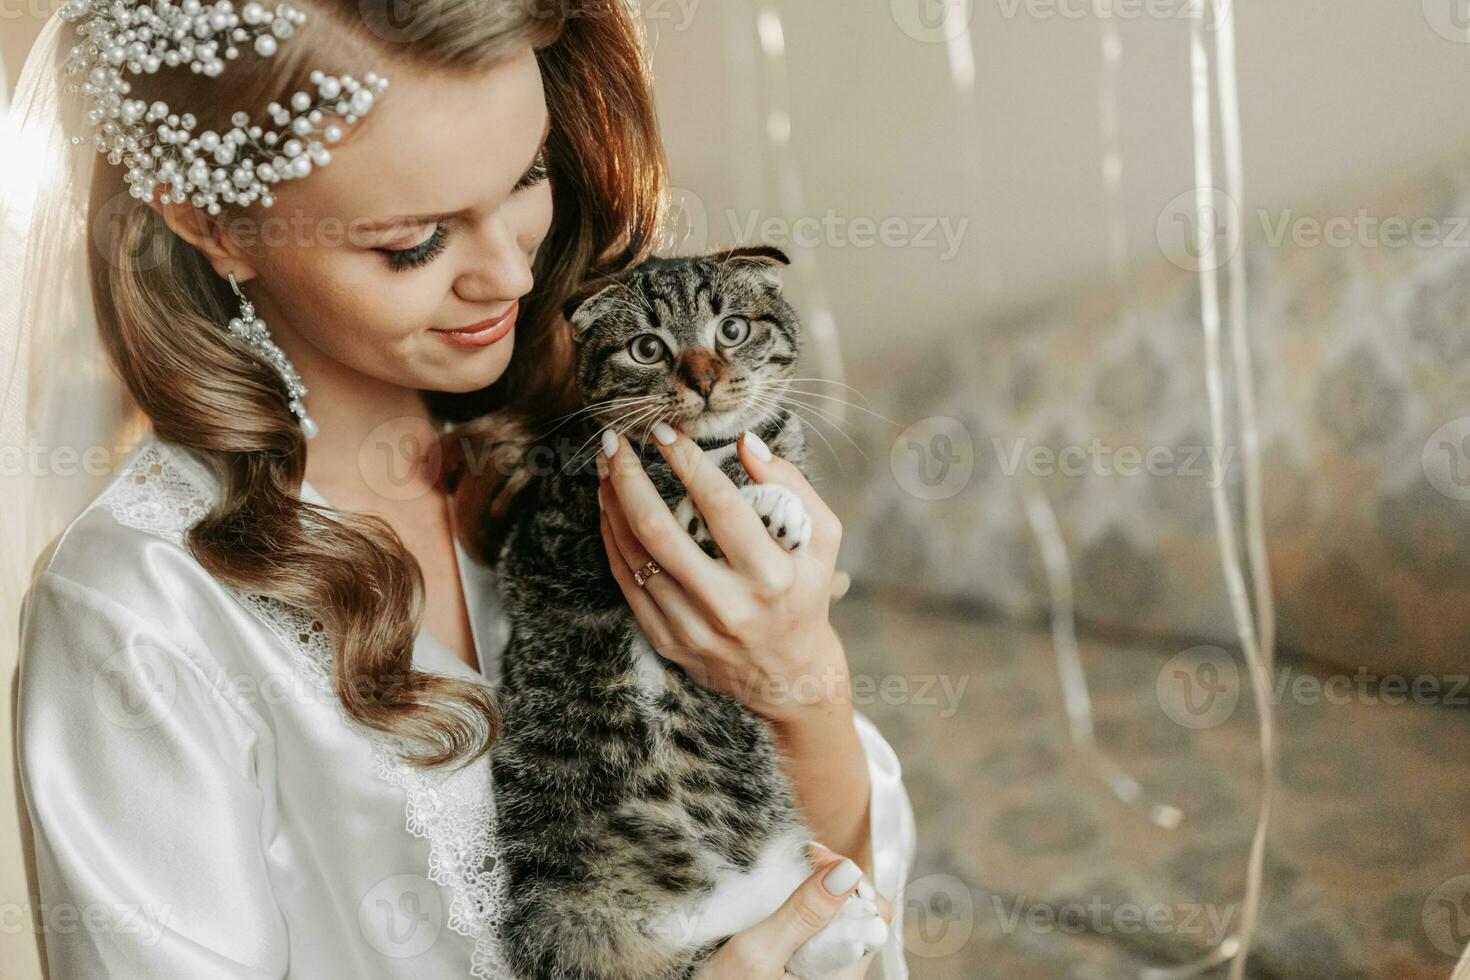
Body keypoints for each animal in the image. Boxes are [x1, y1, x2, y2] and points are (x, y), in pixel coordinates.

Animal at [488, 246, 887, 980]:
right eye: (648, 348)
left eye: (732, 329)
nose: (701, 381)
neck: (704, 452)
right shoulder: (547, 543)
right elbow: (660, 510)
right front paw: (745, 505)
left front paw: (768, 500)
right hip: (565, 924)